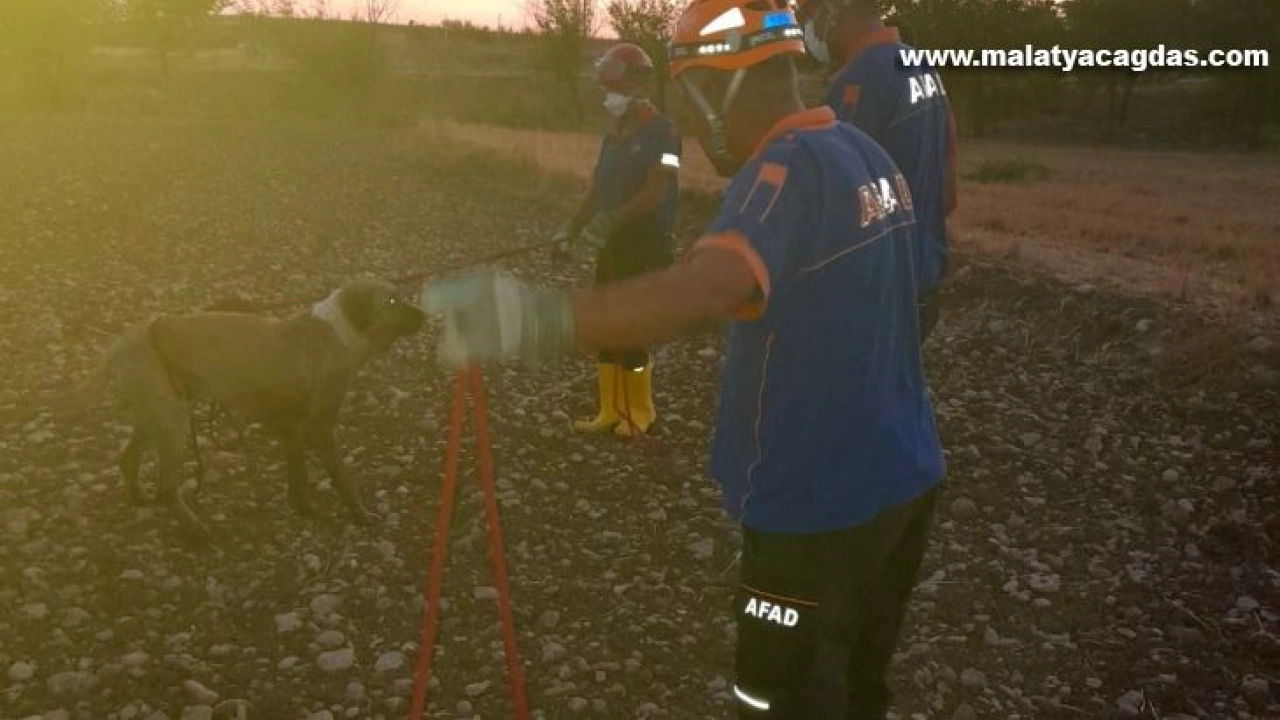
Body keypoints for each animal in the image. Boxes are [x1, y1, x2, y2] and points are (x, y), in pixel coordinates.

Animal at [58, 278, 425, 542]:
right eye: (393, 301)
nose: (424, 314)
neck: (340, 330)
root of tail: (123, 343)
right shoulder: (322, 428)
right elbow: (344, 478)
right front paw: (361, 515)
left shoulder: (293, 429)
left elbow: (299, 476)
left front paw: (305, 508)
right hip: (173, 422)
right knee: (166, 486)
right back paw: (194, 530)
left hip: (154, 416)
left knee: (128, 458)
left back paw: (138, 497)